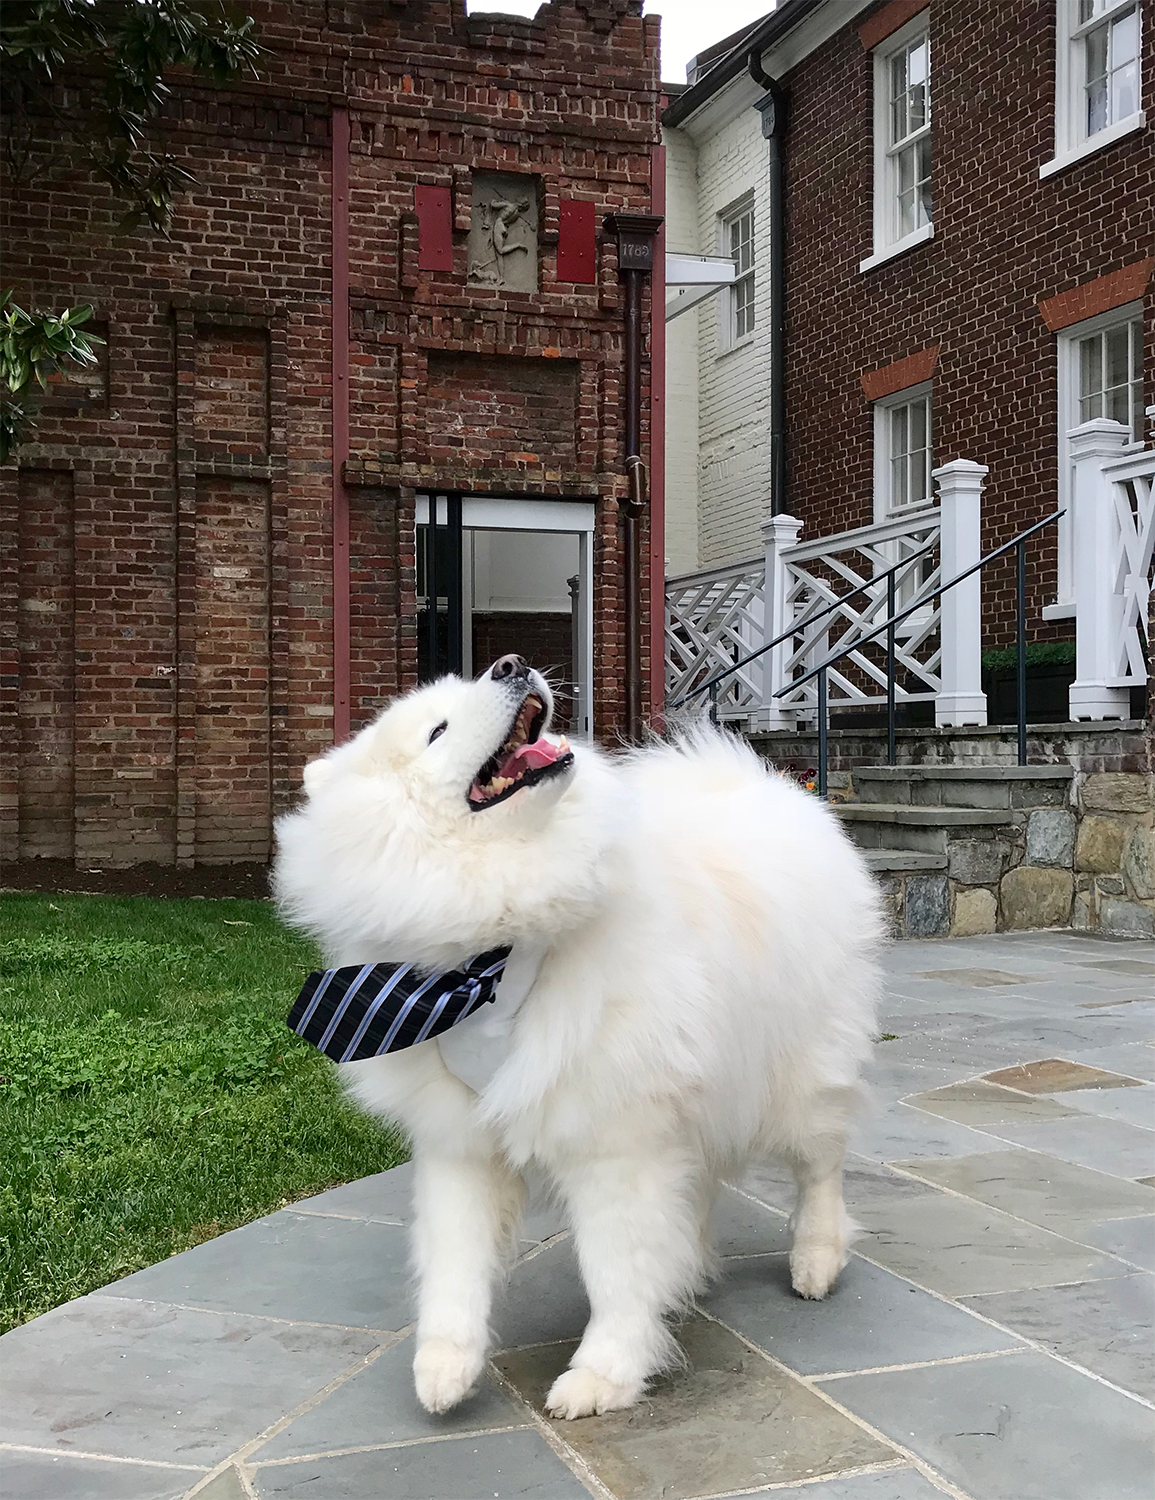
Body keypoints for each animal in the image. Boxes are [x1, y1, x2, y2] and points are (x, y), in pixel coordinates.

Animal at [273, 654, 882, 1416]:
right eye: (438, 730)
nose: (509, 664)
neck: (487, 964)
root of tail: (766, 785)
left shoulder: (614, 1139)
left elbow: (614, 1270)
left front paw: (604, 1375)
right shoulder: (459, 1141)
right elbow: (453, 1262)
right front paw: (445, 1367)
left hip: (797, 1076)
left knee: (818, 1168)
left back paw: (815, 1259)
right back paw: (692, 1271)